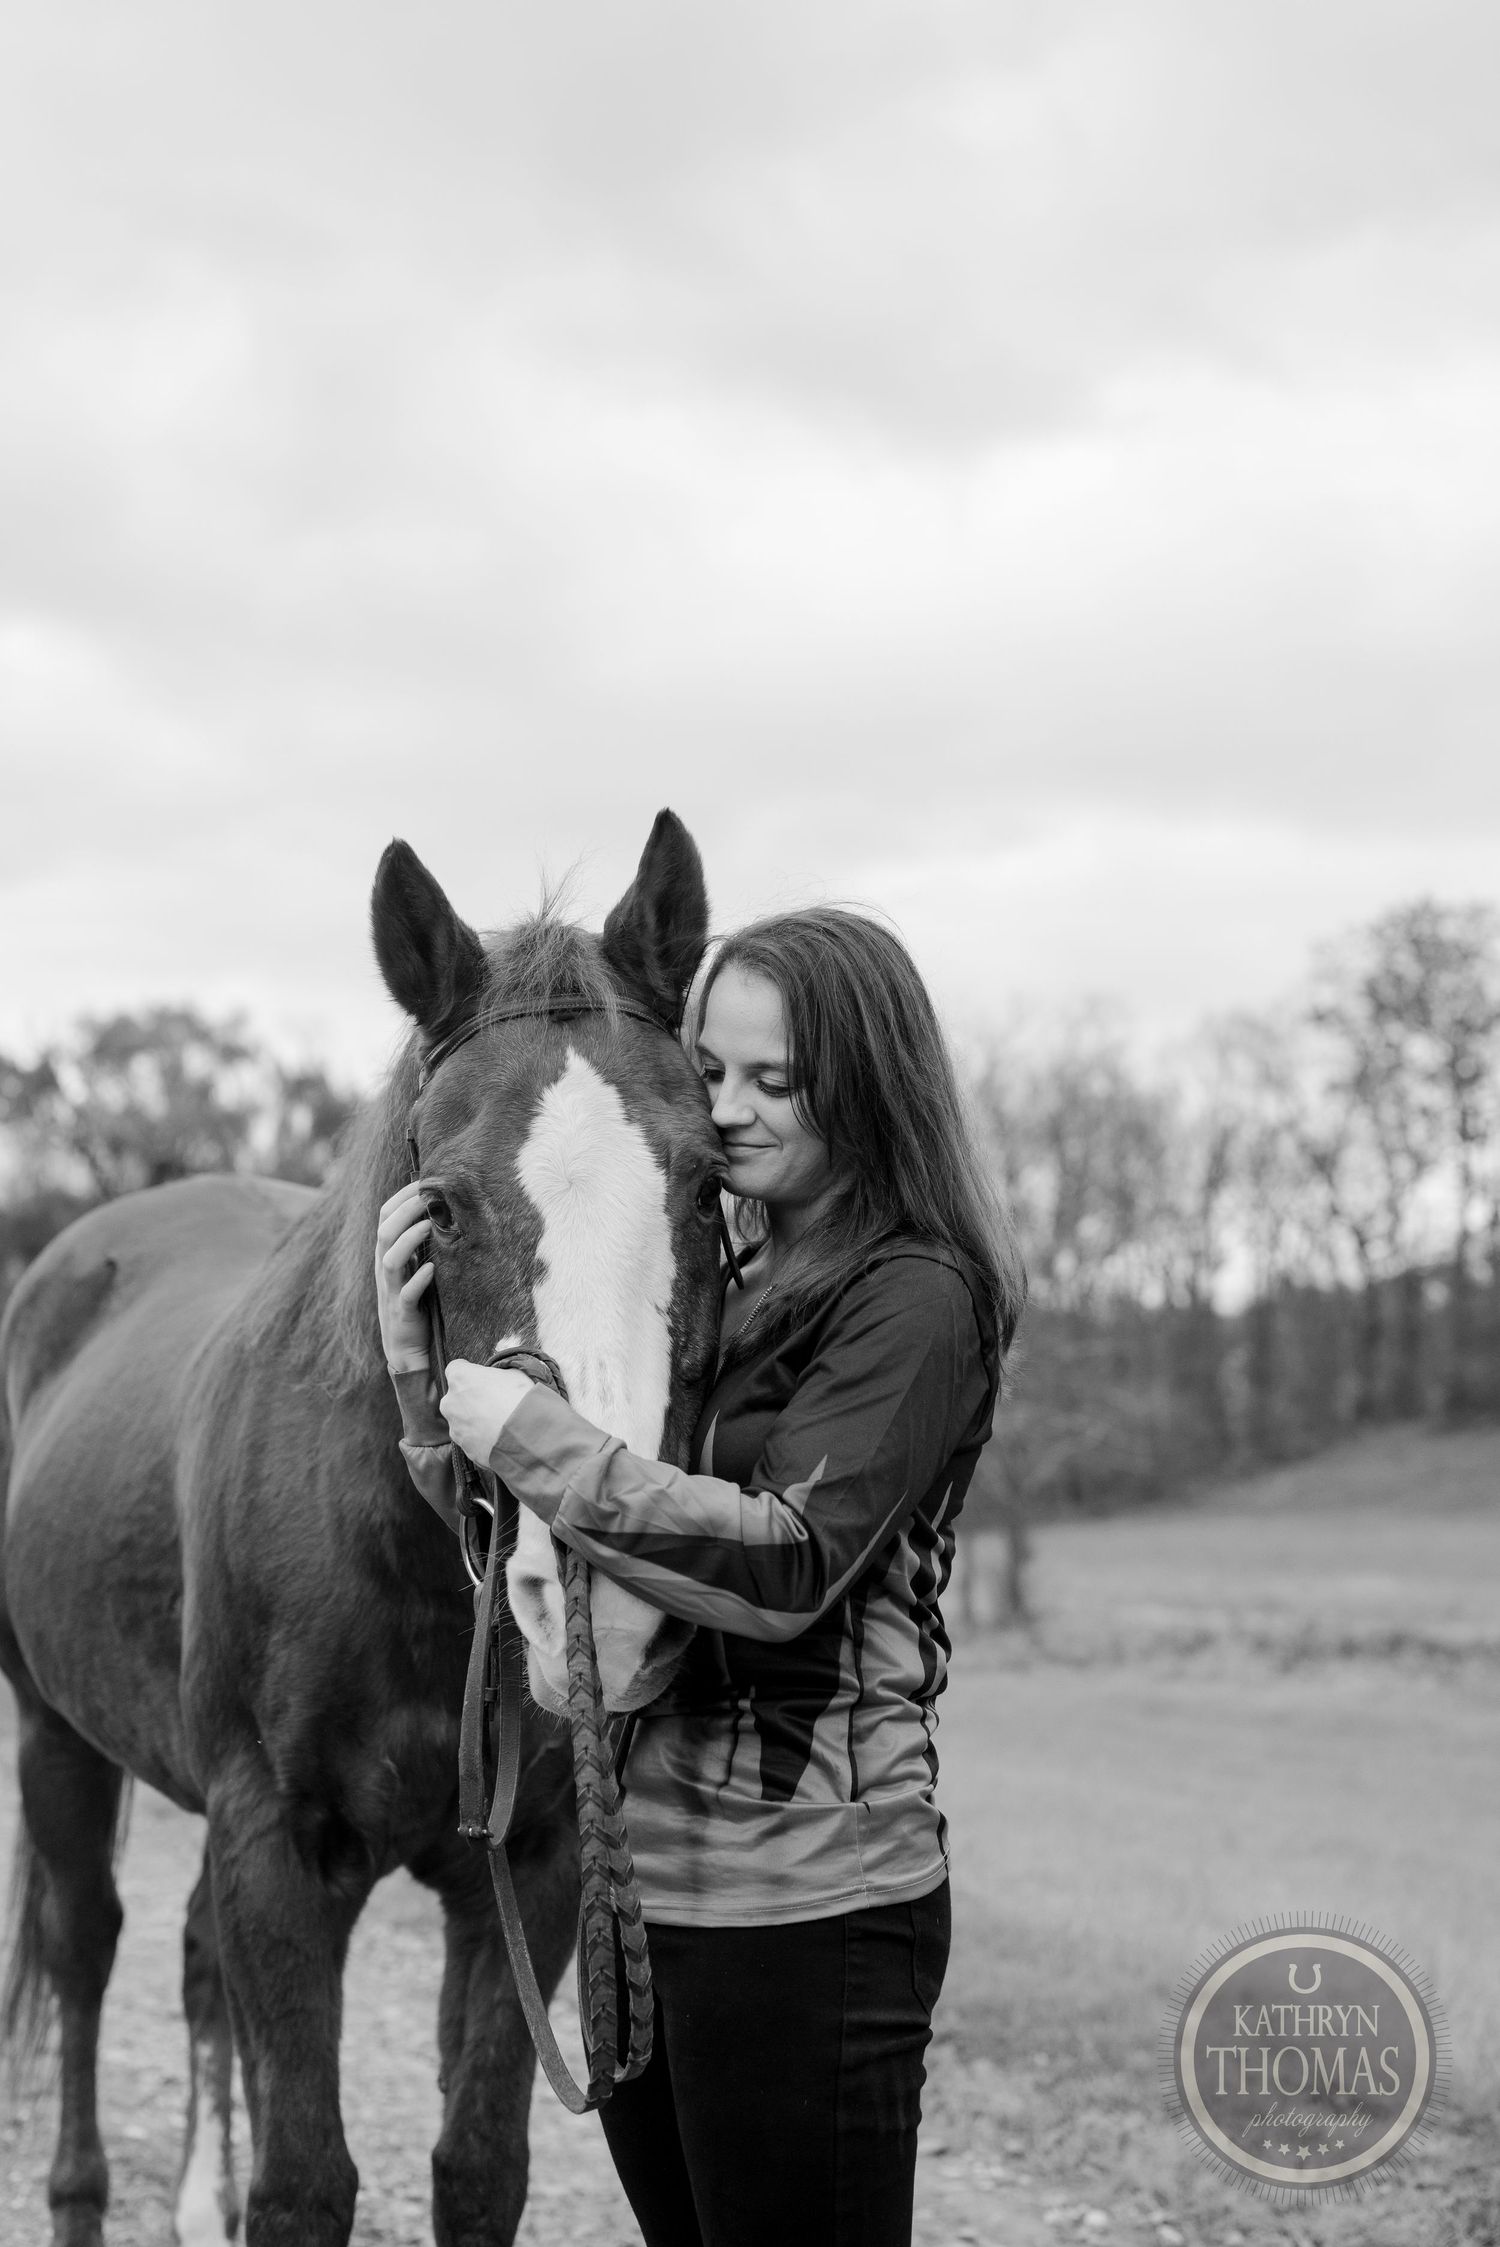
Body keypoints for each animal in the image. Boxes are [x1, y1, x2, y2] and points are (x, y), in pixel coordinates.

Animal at [0, 810, 726, 2247]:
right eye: (440, 1202)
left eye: (703, 1181)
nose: (606, 1588)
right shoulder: (279, 1850)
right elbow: (303, 2180)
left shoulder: (528, 1865)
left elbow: (477, 2163)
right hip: (57, 1741)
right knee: (86, 1945)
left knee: (185, 1959)